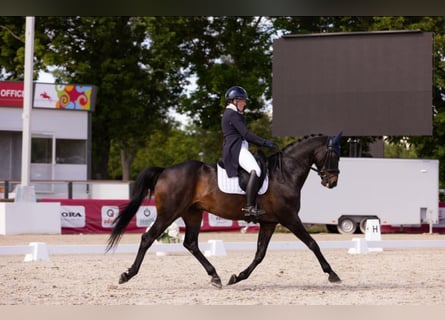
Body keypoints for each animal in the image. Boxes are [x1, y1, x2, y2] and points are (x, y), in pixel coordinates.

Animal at [106, 132, 342, 288]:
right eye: (335, 155)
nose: (332, 182)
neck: (285, 174)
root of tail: (165, 171)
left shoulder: (269, 222)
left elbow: (260, 254)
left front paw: (237, 277)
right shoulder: (290, 218)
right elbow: (312, 244)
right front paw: (333, 274)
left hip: (192, 213)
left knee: (190, 243)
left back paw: (215, 276)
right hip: (168, 213)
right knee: (148, 238)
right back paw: (127, 274)